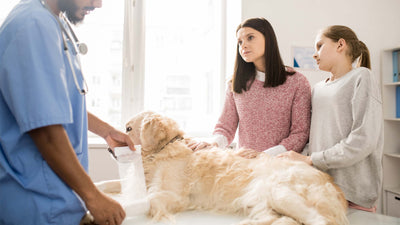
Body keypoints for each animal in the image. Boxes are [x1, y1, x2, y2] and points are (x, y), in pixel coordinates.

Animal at [104, 111, 350, 224]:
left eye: (128, 128)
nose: (108, 150)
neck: (164, 149)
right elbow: (110, 184)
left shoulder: (172, 195)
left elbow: (144, 201)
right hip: (263, 202)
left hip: (280, 192)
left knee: (319, 220)